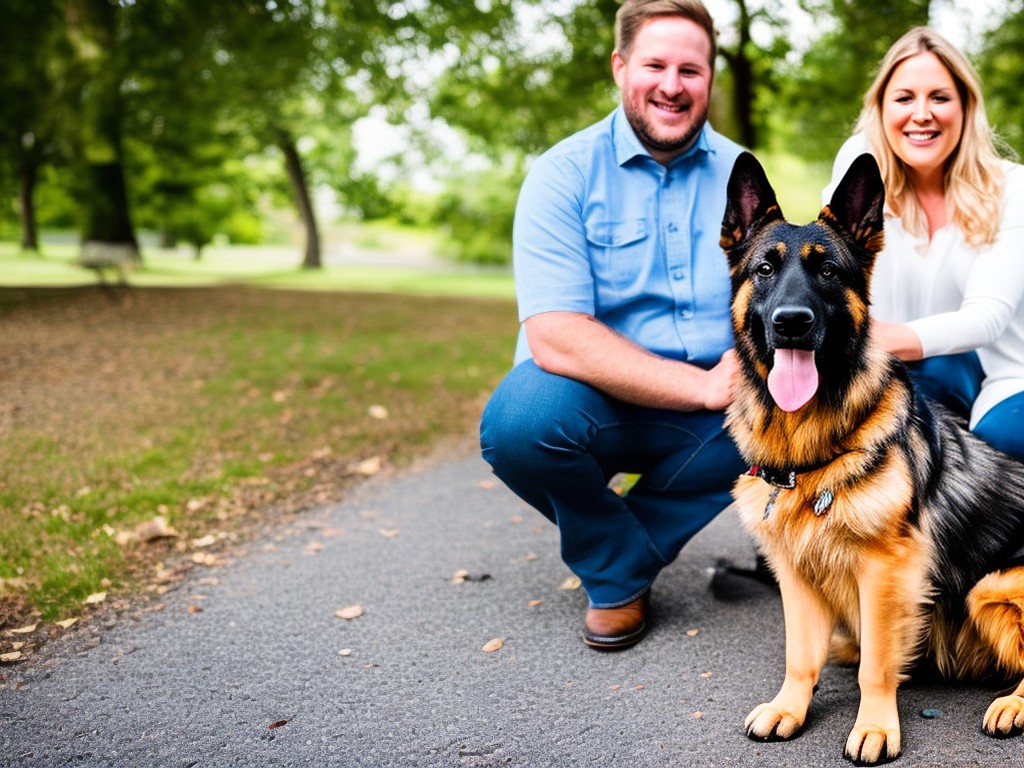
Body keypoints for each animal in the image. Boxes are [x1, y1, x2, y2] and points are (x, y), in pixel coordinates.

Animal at [716, 153, 1024, 765]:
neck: (810, 445)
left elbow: (877, 666)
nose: (791, 321)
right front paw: (789, 709)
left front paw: (876, 726)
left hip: (992, 583)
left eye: (829, 271)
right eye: (764, 269)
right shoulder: (794, 573)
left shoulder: (884, 572)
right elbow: (799, 654)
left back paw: (1013, 704)